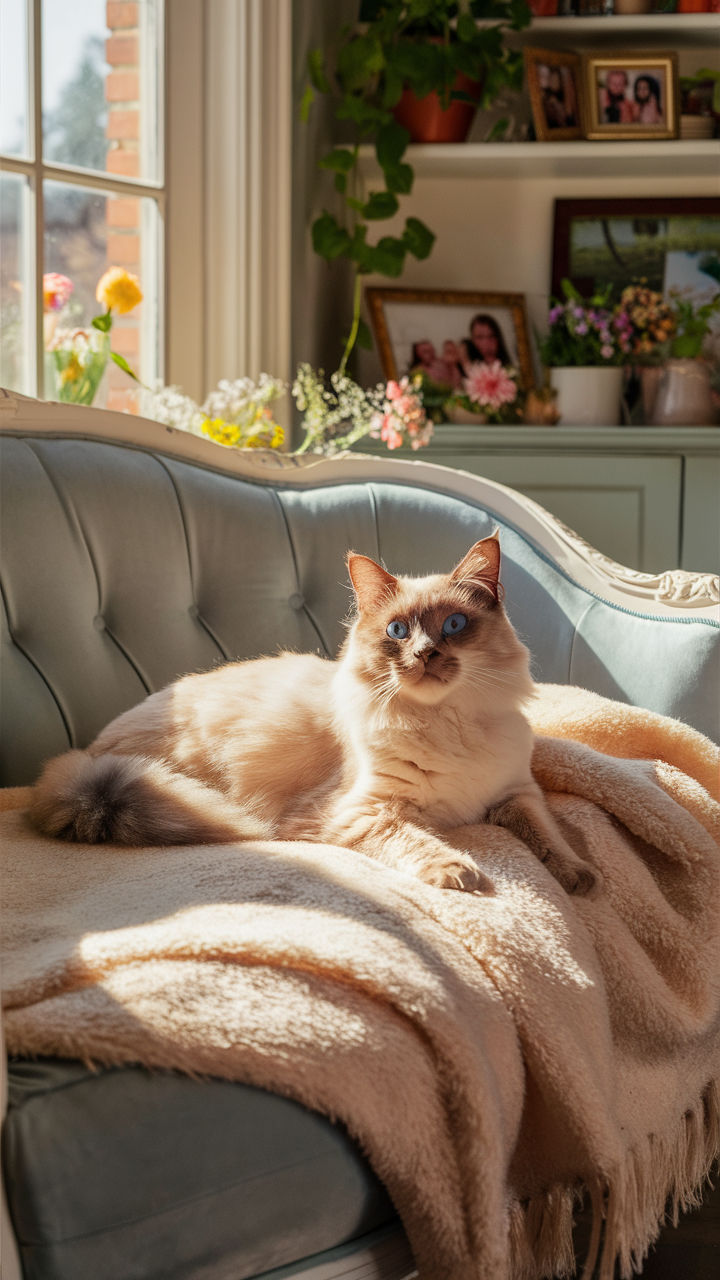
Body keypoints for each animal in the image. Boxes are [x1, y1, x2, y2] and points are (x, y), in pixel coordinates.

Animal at [29, 535, 594, 896]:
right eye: (397, 632)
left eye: (454, 625)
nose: (425, 655)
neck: (448, 723)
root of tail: (87, 757)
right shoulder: (363, 812)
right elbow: (420, 842)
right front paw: (460, 873)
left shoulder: (515, 795)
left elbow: (548, 837)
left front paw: (578, 875)